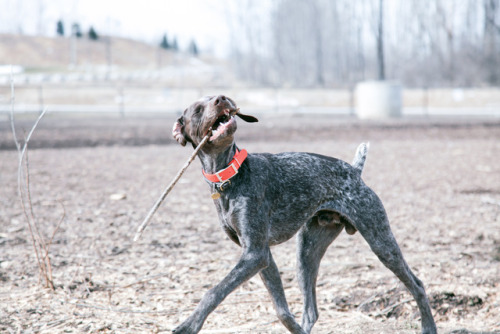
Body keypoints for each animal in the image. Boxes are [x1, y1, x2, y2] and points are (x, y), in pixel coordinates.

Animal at [170, 95, 436, 332]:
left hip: (381, 242)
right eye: (197, 109)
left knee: (418, 285)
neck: (229, 175)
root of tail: (355, 172)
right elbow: (282, 311)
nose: (222, 99)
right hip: (306, 253)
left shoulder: (255, 254)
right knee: (311, 311)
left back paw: (428, 327)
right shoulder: (261, 256)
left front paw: (188, 326)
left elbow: (214, 291)